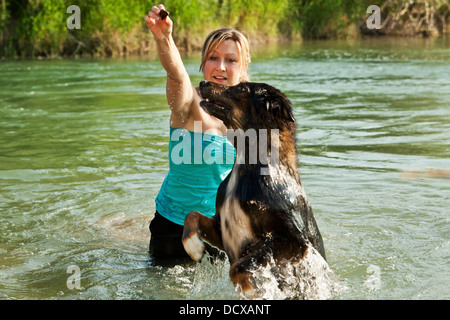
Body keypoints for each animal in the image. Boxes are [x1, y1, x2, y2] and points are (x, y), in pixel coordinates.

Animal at [181, 80, 326, 298]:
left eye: (241, 88)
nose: (203, 82)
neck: (247, 167)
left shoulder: (293, 242)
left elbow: (239, 266)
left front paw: (252, 288)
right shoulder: (222, 229)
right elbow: (192, 215)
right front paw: (195, 248)